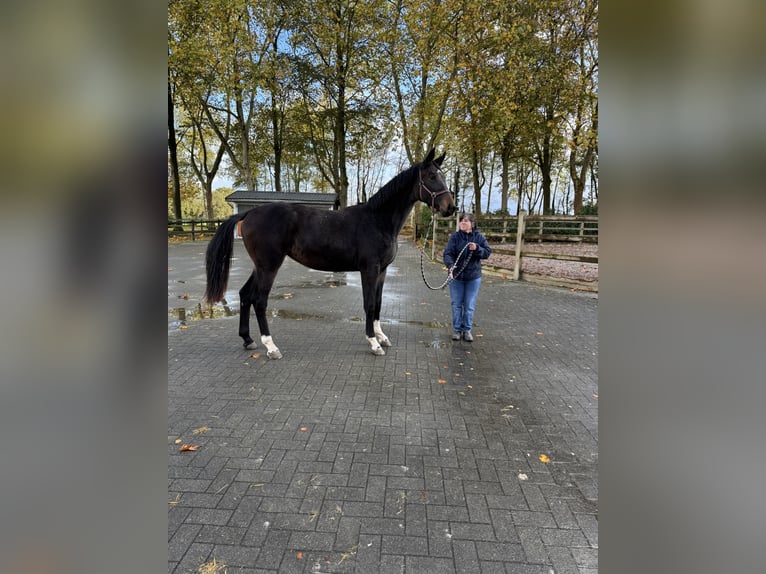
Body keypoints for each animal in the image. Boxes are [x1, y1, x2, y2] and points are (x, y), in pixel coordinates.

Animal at [204, 148, 456, 359]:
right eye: (431, 176)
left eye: (442, 176)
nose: (450, 208)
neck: (377, 220)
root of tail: (249, 214)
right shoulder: (369, 270)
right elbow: (369, 304)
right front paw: (373, 343)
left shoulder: (382, 271)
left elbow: (379, 303)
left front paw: (382, 337)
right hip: (269, 266)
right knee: (259, 300)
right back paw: (271, 347)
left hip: (260, 266)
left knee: (245, 295)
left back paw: (248, 340)